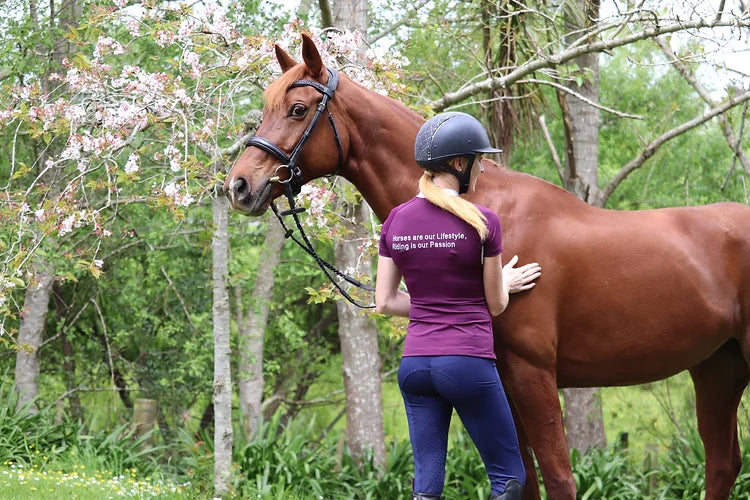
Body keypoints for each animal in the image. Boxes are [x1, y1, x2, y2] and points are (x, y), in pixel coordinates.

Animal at [225, 35, 750, 500]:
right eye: (265, 106)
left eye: (297, 110)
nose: (239, 186)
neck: (477, 204)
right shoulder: (502, 384)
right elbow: (524, 480)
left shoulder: (533, 374)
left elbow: (558, 479)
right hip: (717, 368)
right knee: (723, 464)